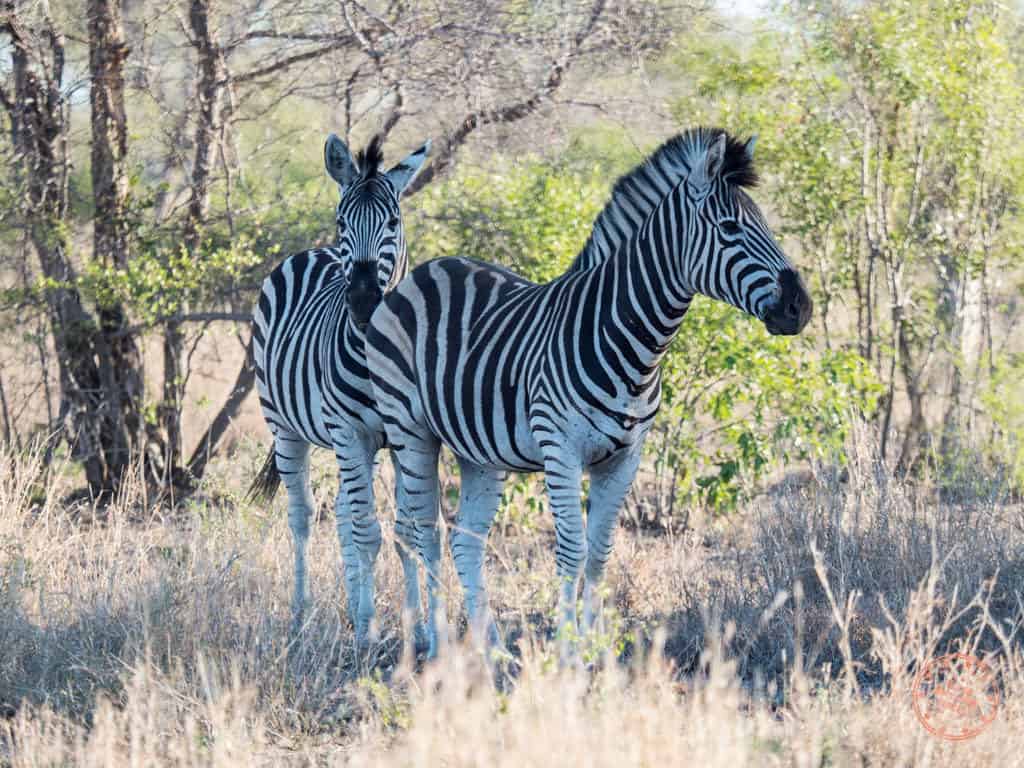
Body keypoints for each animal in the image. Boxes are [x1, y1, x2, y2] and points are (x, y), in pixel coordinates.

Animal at [248, 132, 431, 651]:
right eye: (340, 222)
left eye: (393, 222)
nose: (365, 302)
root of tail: (312, 254)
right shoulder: (350, 432)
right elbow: (369, 533)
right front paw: (368, 631)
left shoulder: (404, 436)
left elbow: (405, 532)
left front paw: (417, 629)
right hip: (286, 427)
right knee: (303, 516)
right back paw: (301, 613)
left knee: (347, 517)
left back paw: (351, 606)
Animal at [364, 127, 813, 660]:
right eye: (729, 228)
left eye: (765, 224)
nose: (801, 307)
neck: (629, 340)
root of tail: (425, 269)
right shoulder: (562, 450)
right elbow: (572, 551)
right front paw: (568, 653)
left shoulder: (624, 457)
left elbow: (600, 553)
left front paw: (597, 652)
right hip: (411, 431)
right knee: (422, 535)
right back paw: (436, 647)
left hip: (479, 454)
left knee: (464, 543)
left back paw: (490, 650)